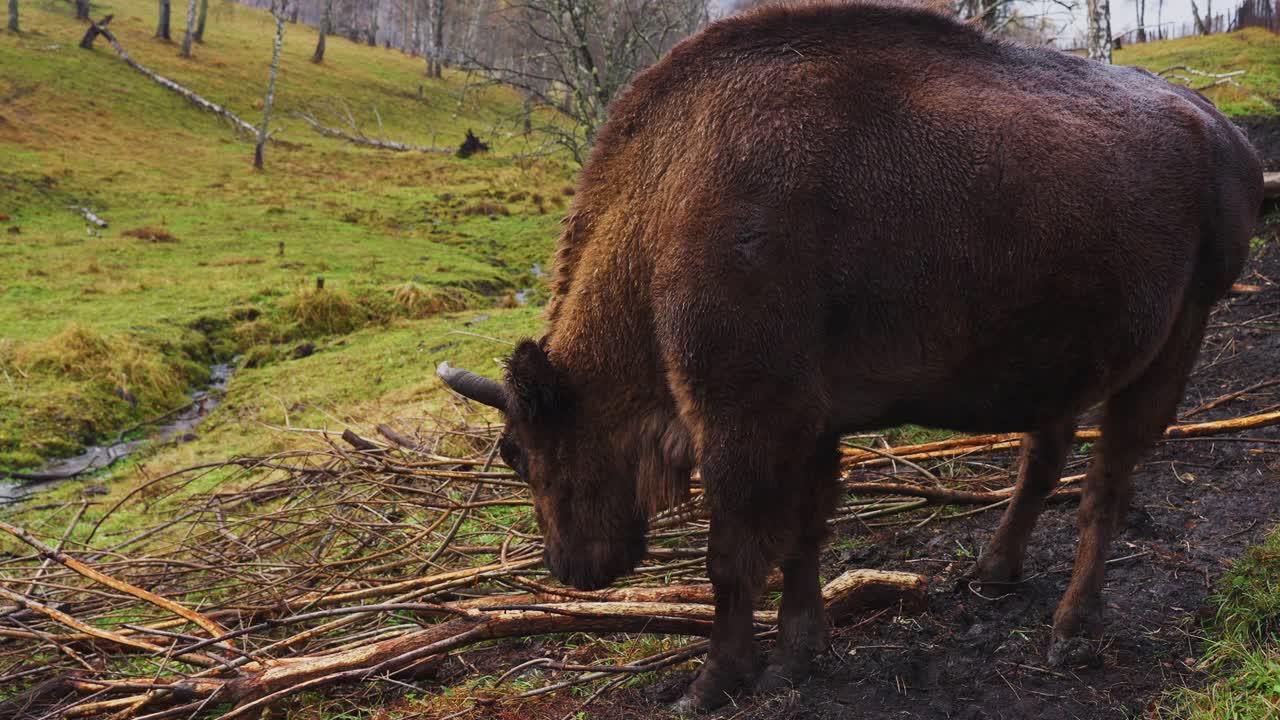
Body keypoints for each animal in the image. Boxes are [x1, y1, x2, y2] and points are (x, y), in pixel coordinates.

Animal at [439, 0, 1262, 711]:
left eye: (518, 451)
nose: (571, 569)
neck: (667, 207)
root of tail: (1229, 137)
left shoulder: (744, 423)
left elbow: (733, 556)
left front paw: (711, 685)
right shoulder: (812, 425)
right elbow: (803, 538)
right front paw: (799, 657)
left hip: (1175, 341)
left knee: (1106, 485)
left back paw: (1069, 631)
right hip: (1060, 358)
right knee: (1044, 456)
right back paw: (991, 574)